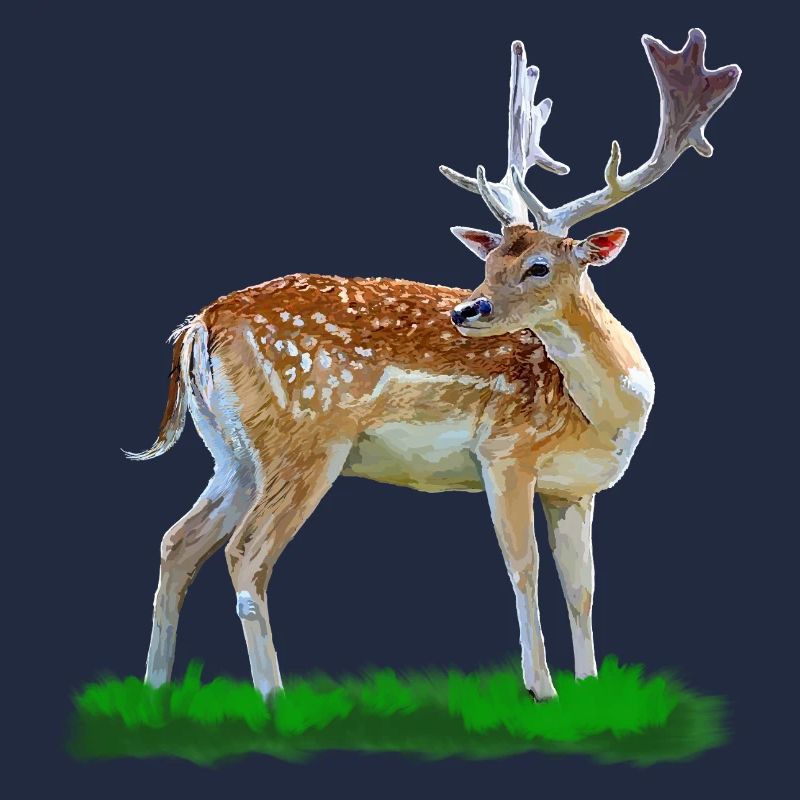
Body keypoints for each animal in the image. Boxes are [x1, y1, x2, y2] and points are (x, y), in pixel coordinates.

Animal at [127, 29, 740, 701]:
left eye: (538, 266)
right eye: (490, 261)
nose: (468, 309)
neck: (606, 415)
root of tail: (200, 324)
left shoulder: (575, 488)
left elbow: (582, 589)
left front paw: (589, 684)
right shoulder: (504, 452)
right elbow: (523, 569)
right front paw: (541, 688)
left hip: (233, 452)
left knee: (177, 542)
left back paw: (156, 688)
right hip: (301, 437)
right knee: (246, 553)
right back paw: (273, 699)